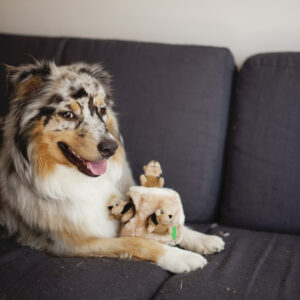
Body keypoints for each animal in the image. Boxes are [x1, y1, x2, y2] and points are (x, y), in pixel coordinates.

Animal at [0, 61, 225, 274]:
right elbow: (135, 241)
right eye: (67, 114)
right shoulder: (70, 242)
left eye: (102, 110)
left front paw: (203, 238)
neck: (79, 179)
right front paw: (180, 257)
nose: (111, 148)